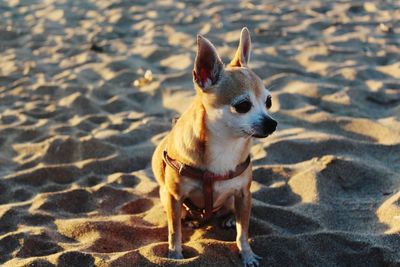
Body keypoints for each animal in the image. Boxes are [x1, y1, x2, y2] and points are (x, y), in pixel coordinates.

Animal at [152, 28, 276, 266]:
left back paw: (228, 219)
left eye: (269, 102)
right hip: (165, 195)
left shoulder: (244, 195)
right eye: (243, 106)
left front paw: (247, 254)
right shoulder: (174, 197)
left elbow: (243, 232)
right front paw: (175, 254)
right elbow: (174, 231)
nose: (272, 123)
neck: (225, 144)